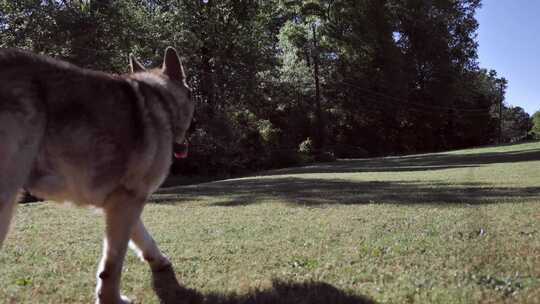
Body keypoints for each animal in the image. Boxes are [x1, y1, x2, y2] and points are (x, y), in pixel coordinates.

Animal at [0, 47, 194, 304]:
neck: (161, 100)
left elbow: (143, 238)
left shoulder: (125, 203)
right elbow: (113, 264)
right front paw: (111, 298)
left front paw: (159, 260)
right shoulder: (127, 202)